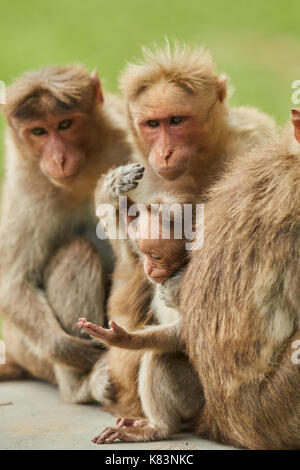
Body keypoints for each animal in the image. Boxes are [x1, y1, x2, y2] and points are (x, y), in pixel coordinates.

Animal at [0, 65, 132, 404]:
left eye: (65, 124)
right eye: (38, 132)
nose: (58, 158)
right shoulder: (27, 188)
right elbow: (12, 283)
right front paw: (72, 350)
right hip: (29, 352)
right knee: (76, 251)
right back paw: (82, 385)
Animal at [78, 163, 204, 442]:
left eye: (156, 256)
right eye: (145, 253)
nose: (148, 268)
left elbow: (184, 334)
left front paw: (122, 338)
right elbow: (124, 226)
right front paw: (115, 186)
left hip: (197, 396)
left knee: (160, 357)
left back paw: (159, 428)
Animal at [96, 42, 276, 416]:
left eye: (177, 120)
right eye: (153, 123)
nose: (165, 152)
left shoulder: (255, 143)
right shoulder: (147, 177)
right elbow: (133, 257)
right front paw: (111, 189)